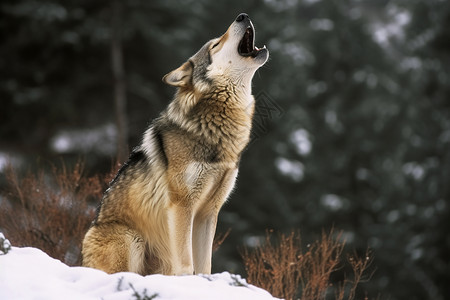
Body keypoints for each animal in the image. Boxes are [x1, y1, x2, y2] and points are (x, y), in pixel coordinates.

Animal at [81, 14, 268, 276]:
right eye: (215, 45)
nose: (243, 16)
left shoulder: (209, 212)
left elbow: (205, 265)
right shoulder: (181, 205)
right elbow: (186, 262)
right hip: (131, 239)